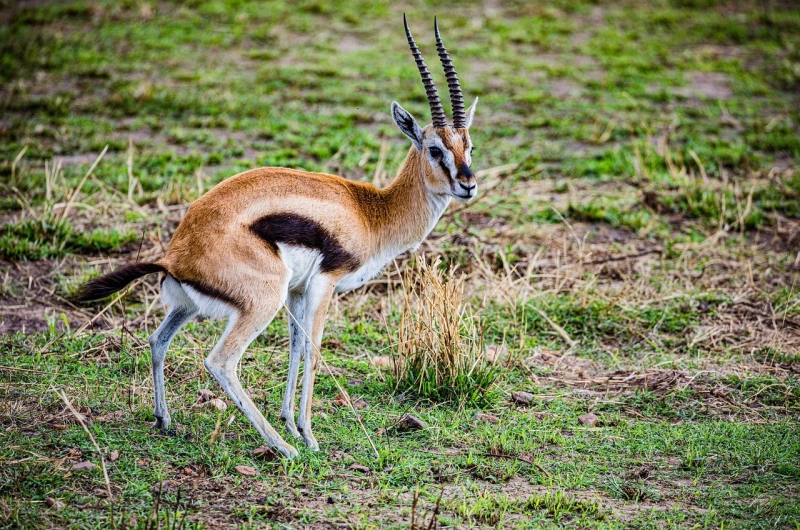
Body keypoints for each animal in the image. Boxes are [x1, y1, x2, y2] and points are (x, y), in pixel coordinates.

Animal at [77, 16, 479, 459]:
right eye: (435, 149)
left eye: (469, 147)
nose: (467, 185)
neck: (371, 211)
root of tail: (176, 254)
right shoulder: (324, 283)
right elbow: (314, 349)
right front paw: (308, 435)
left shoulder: (298, 290)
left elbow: (295, 346)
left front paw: (291, 422)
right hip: (260, 302)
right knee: (221, 361)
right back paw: (283, 448)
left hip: (190, 306)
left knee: (157, 339)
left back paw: (165, 421)